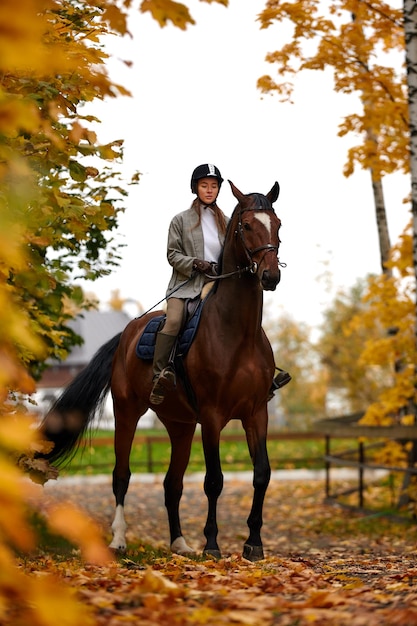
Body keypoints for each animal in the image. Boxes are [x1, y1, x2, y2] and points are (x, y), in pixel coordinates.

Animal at [39, 180, 282, 560]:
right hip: (127, 413)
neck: (236, 333)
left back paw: (179, 543)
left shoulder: (257, 413)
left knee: (172, 483)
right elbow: (214, 480)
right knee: (121, 475)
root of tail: (127, 333)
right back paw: (119, 540)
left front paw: (253, 543)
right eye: (246, 226)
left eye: (278, 224)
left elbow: (262, 473)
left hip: (179, 425)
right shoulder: (212, 417)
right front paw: (212, 545)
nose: (270, 276)